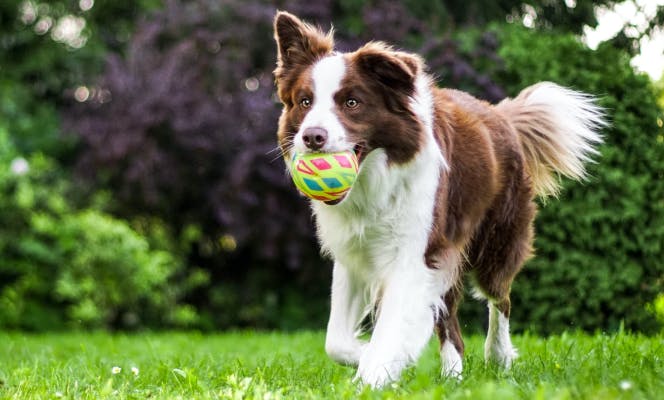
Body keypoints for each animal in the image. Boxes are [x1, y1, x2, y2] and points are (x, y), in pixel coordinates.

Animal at [272, 10, 608, 388]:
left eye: (352, 103)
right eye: (305, 102)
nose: (312, 137)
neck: (374, 181)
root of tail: (501, 115)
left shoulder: (416, 253)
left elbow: (391, 327)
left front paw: (374, 373)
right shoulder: (355, 254)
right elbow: (336, 341)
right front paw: (374, 357)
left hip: (495, 242)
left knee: (500, 298)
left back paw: (498, 356)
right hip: (449, 253)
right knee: (451, 323)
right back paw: (452, 375)